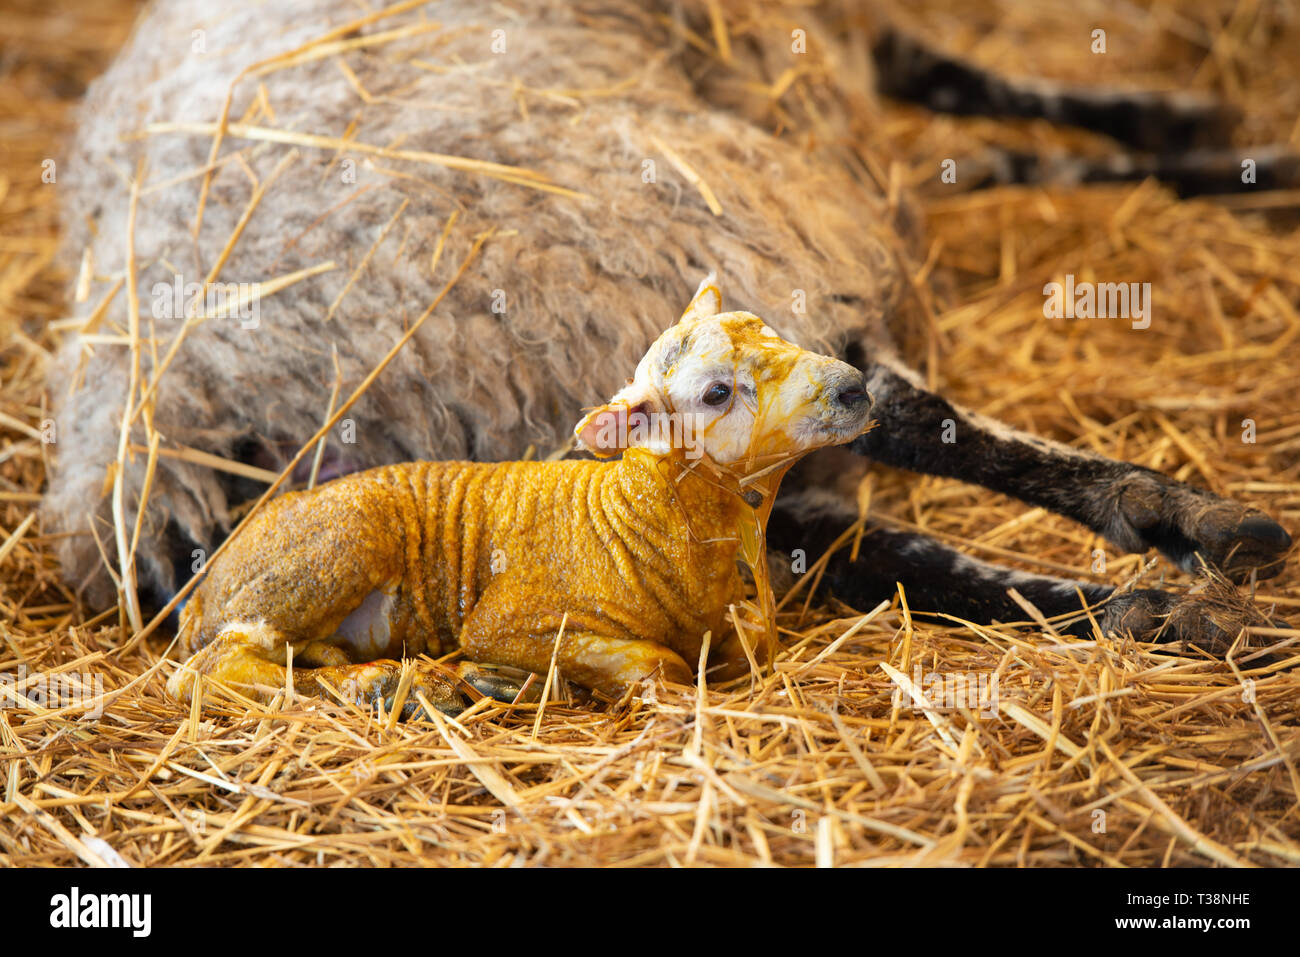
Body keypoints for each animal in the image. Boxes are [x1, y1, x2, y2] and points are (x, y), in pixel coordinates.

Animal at [44, 0, 1291, 662]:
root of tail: (168, 412)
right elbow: (957, 82)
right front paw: (1185, 131)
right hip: (643, 241)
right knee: (884, 418)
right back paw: (1171, 551)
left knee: (833, 534)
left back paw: (1150, 579)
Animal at [164, 278, 872, 714]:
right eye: (717, 393)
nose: (855, 389)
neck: (632, 520)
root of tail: (203, 590)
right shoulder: (506, 621)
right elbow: (656, 664)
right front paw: (507, 678)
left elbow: (749, 637)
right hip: (331, 548)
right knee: (207, 669)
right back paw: (382, 682)